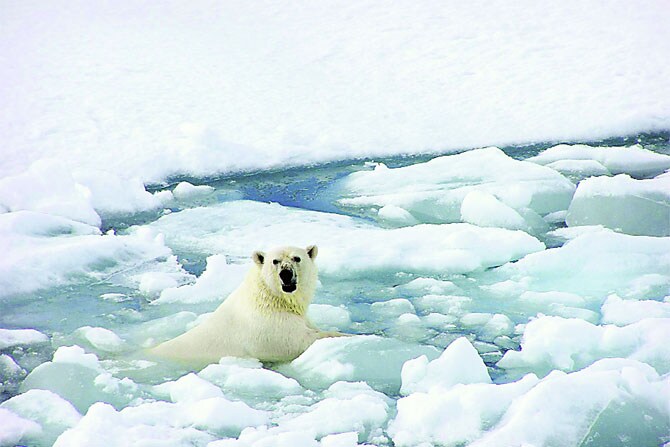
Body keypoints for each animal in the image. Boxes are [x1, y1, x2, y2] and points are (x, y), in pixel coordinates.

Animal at [152, 247, 346, 366]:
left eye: (296, 258)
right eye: (275, 261)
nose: (286, 273)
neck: (270, 299)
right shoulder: (268, 326)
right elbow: (297, 341)